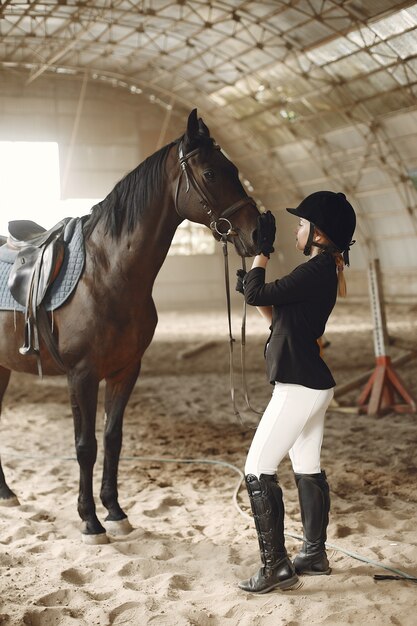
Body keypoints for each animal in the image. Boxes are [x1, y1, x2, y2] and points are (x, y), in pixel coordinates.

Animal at [0, 108, 260, 540]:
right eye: (210, 173)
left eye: (235, 169)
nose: (260, 232)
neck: (107, 273)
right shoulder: (82, 375)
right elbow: (85, 445)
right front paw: (89, 520)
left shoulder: (125, 371)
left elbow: (112, 439)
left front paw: (115, 512)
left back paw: (6, 494)